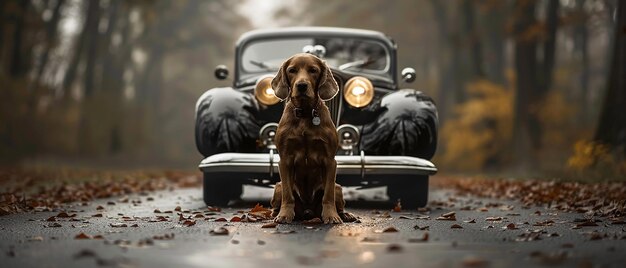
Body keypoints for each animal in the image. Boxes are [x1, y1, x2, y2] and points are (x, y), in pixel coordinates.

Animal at [270, 52, 354, 224]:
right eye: (292, 70)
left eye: (313, 70)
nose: (302, 85)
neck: (305, 113)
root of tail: (308, 212)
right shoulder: (285, 160)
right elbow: (288, 195)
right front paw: (284, 215)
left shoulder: (330, 161)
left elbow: (327, 195)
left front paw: (331, 216)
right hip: (278, 187)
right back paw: (275, 214)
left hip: (338, 188)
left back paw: (345, 215)